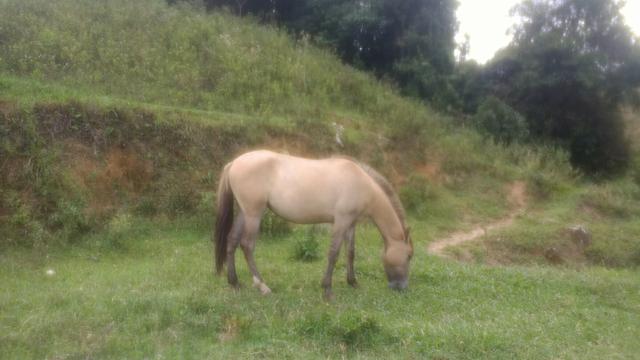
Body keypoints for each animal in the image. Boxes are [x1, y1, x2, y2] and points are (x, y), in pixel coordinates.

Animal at [214, 149, 416, 298]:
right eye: (409, 256)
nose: (402, 287)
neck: (360, 183)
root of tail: (234, 163)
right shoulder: (341, 221)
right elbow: (333, 254)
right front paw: (327, 289)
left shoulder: (350, 224)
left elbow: (350, 253)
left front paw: (353, 282)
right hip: (254, 214)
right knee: (247, 245)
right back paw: (262, 286)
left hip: (244, 212)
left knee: (232, 241)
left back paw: (235, 283)